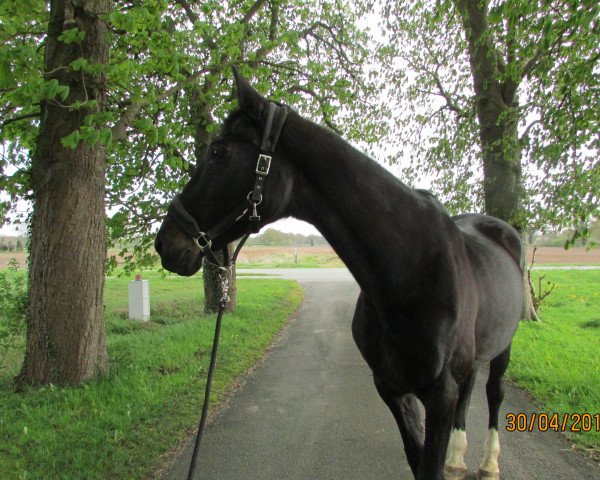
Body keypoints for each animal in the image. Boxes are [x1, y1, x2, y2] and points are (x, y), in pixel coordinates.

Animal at [156, 71, 524, 480]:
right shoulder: (391, 388)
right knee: (472, 386)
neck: (409, 271)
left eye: (218, 152)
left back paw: (489, 462)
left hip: (505, 345)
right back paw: (458, 456)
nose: (164, 243)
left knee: (494, 391)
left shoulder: (440, 396)